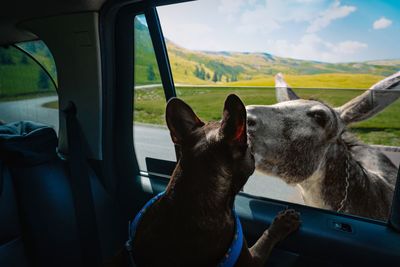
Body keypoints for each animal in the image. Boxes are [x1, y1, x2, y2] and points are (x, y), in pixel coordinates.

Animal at [109, 95, 300, 267]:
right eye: (250, 152)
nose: (255, 157)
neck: (188, 198)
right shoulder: (252, 259)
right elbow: (265, 240)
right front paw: (284, 222)